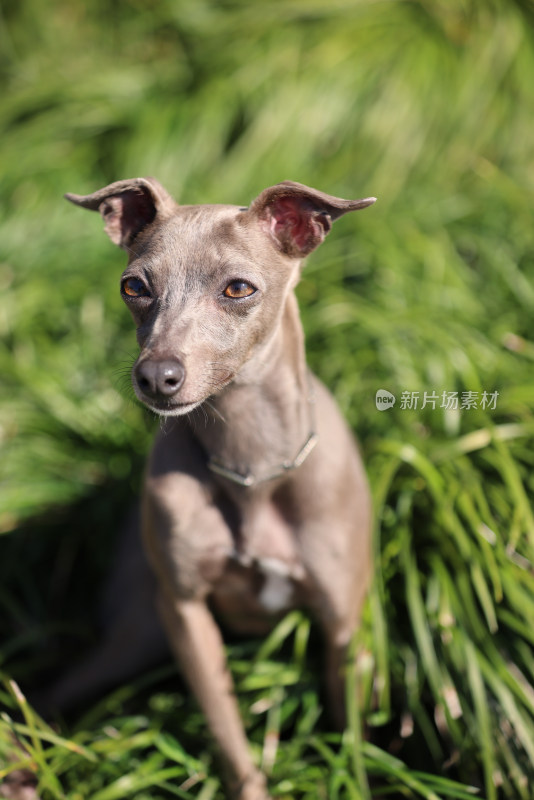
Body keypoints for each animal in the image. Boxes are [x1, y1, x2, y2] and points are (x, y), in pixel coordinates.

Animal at [66, 180, 376, 800]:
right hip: (134, 634)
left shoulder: (341, 625)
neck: (251, 465)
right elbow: (230, 738)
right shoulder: (184, 613)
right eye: (133, 286)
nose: (156, 377)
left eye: (238, 288)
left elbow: (347, 727)